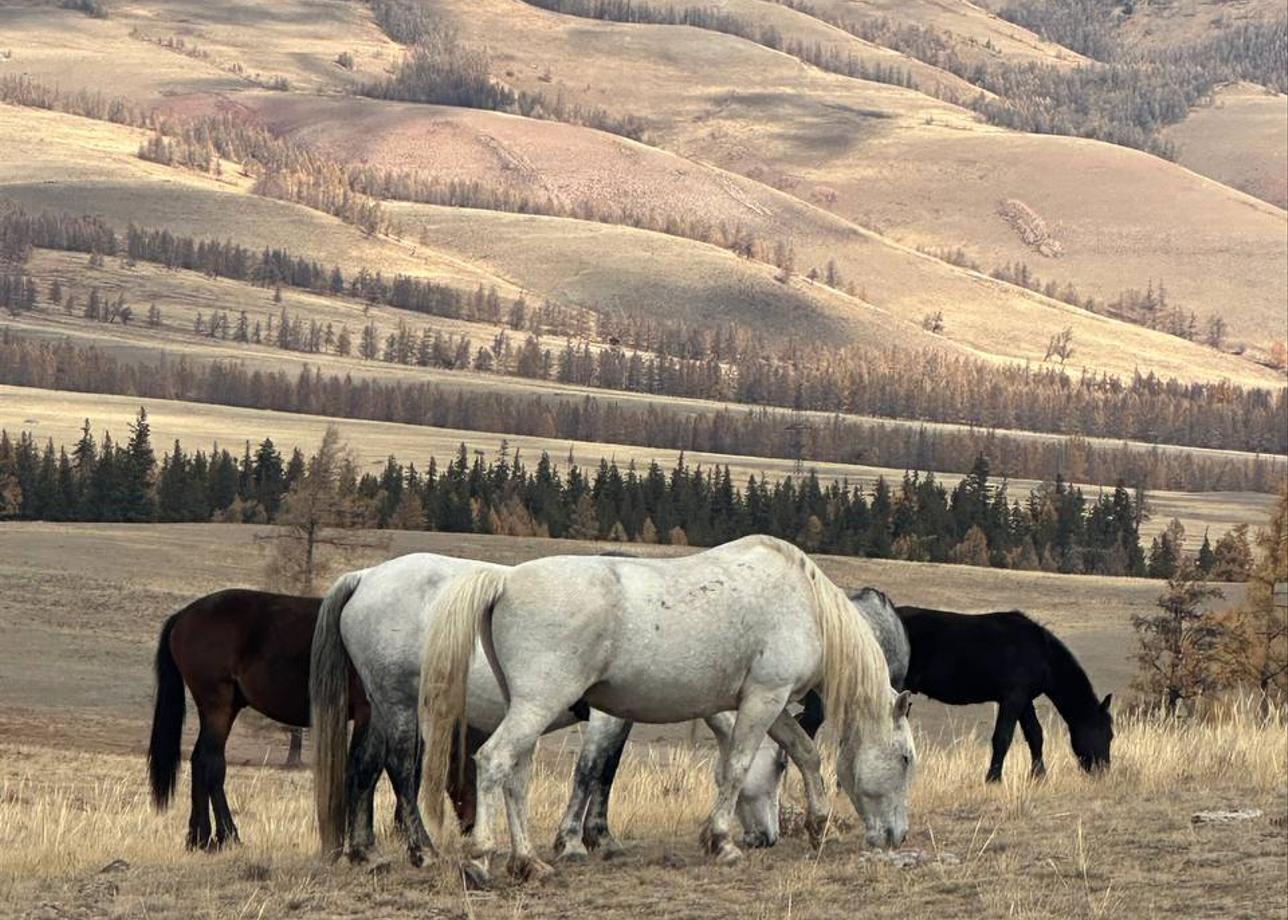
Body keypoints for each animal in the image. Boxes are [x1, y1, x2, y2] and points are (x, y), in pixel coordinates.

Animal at [148, 587, 376, 845]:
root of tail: (183, 616)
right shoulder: (367, 712)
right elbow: (364, 770)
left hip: (227, 707)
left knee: (199, 761)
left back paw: (199, 838)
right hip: (217, 705)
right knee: (211, 762)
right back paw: (227, 835)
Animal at [422, 533, 917, 886]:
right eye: (906, 759)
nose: (897, 836)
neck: (804, 604)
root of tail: (504, 582)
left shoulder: (771, 704)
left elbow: (805, 754)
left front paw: (819, 826)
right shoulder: (765, 698)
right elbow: (737, 767)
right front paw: (722, 842)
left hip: (527, 709)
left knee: (516, 778)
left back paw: (527, 862)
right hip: (537, 706)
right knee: (493, 761)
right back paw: (480, 861)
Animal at [891, 605, 1112, 778]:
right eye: (1108, 734)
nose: (1103, 772)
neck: (1042, 653)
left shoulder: (1024, 700)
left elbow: (1035, 734)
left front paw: (1039, 776)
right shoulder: (1012, 699)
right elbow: (1002, 738)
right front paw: (993, 778)